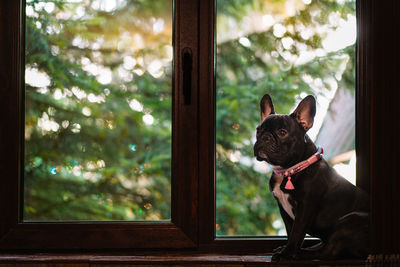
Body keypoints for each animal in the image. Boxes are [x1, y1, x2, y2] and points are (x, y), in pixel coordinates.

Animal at [253, 94, 368, 262]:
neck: (290, 170)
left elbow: (297, 233)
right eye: (258, 130)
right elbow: (290, 232)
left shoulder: (305, 208)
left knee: (327, 252)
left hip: (349, 222)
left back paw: (301, 254)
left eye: (282, 132)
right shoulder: (283, 209)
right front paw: (287, 250)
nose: (265, 137)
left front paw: (286, 254)